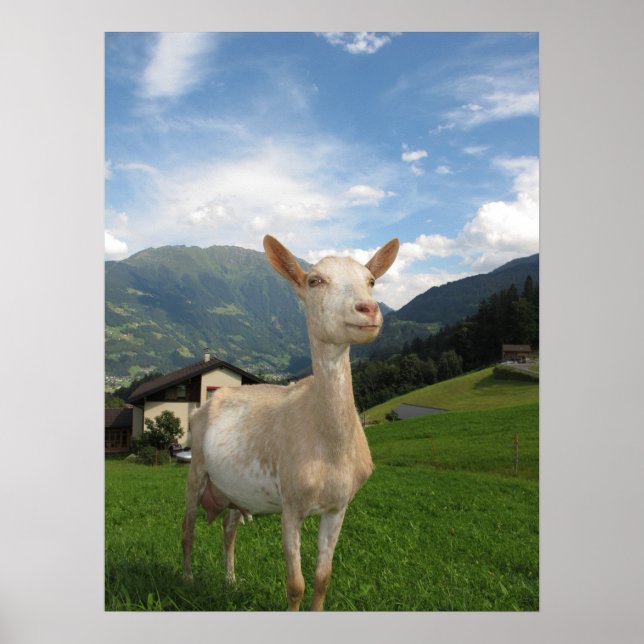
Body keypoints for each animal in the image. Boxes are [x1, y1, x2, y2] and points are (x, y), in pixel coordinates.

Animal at [182, 234, 400, 610]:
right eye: (315, 280)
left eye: (371, 281)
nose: (368, 309)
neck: (327, 447)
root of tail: (205, 404)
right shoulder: (291, 504)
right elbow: (295, 584)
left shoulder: (338, 507)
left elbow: (322, 578)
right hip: (196, 467)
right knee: (188, 526)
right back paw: (188, 579)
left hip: (235, 490)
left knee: (228, 529)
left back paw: (230, 581)